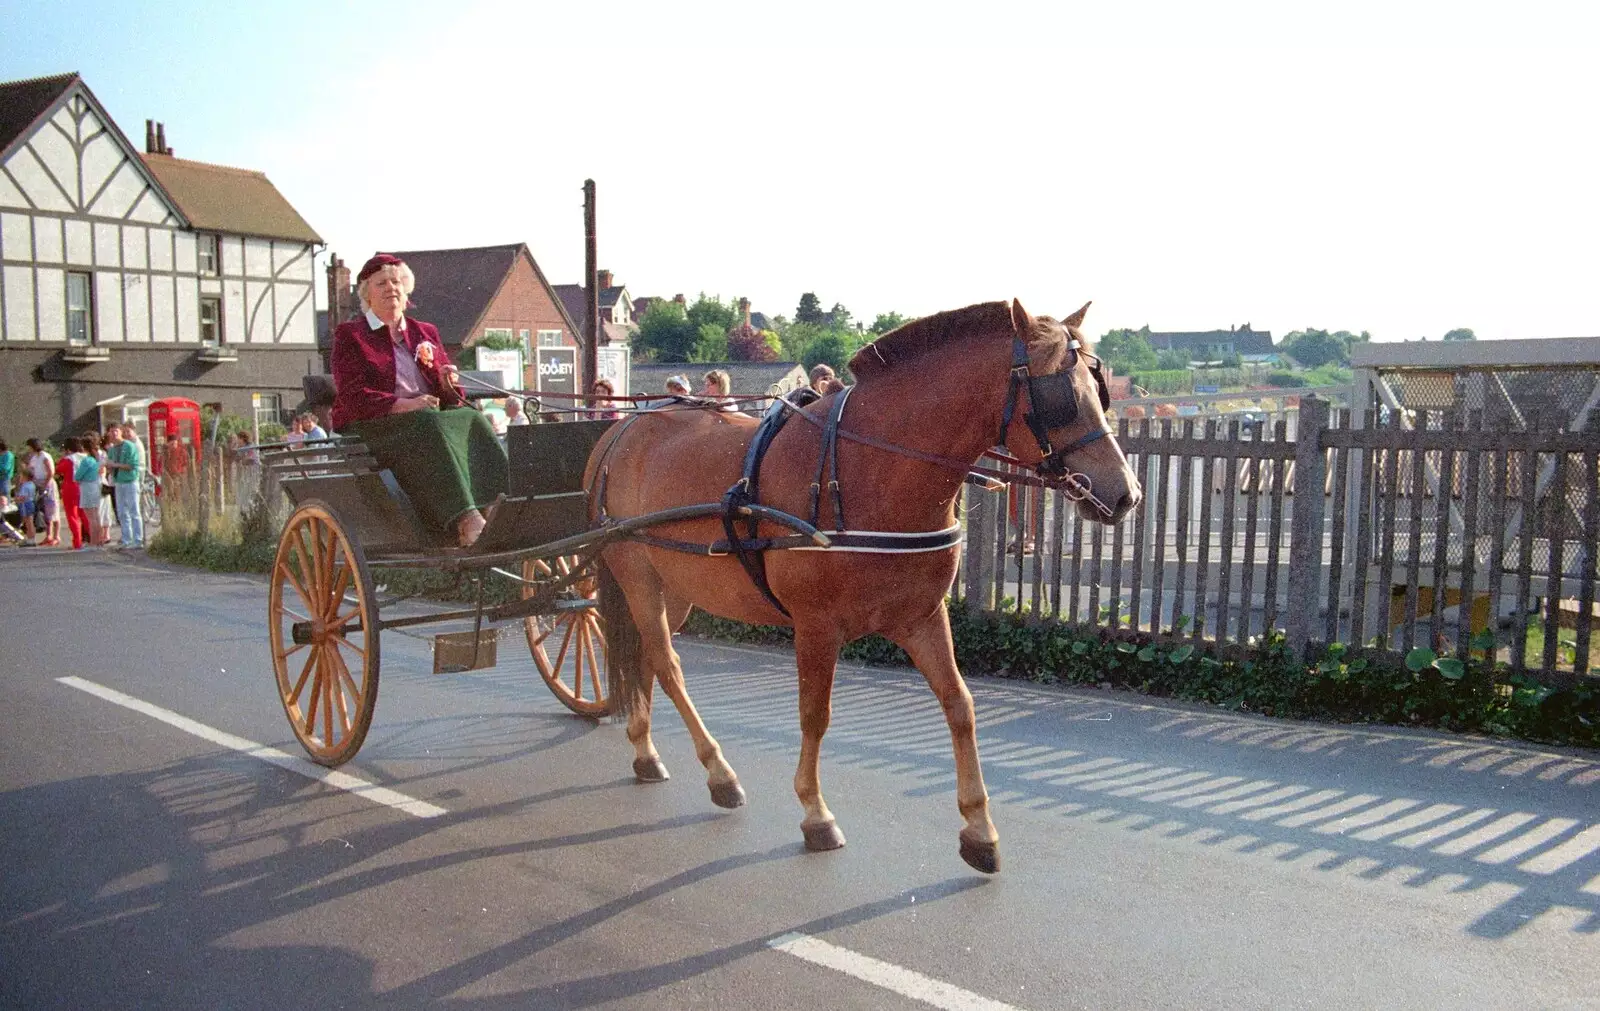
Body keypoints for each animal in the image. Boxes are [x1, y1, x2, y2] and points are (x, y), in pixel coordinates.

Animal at [585, 295, 1139, 870]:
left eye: (1099, 387)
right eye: (1063, 397)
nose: (1127, 494)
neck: (868, 466)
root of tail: (620, 434)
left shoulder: (922, 618)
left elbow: (960, 706)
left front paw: (979, 828)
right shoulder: (816, 627)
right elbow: (815, 715)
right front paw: (815, 812)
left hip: (676, 589)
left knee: (648, 658)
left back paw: (645, 750)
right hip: (638, 577)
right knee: (669, 664)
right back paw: (719, 773)